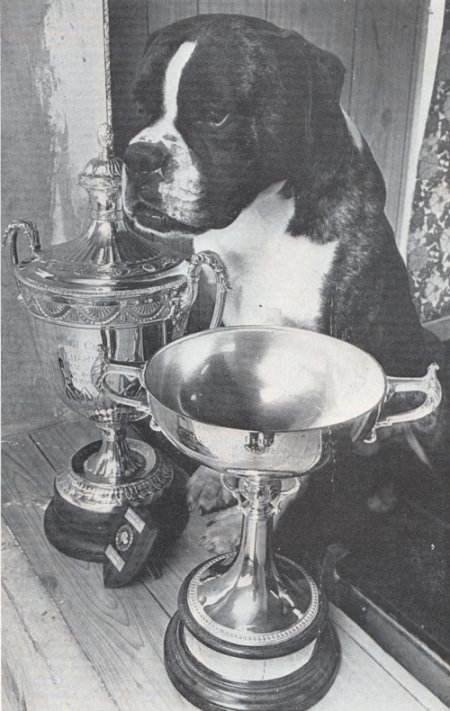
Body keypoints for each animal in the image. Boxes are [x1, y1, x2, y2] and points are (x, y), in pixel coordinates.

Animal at [121, 13, 444, 552]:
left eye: (217, 116)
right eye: (141, 107)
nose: (138, 157)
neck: (266, 213)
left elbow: (294, 474)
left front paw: (246, 528)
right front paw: (216, 477)